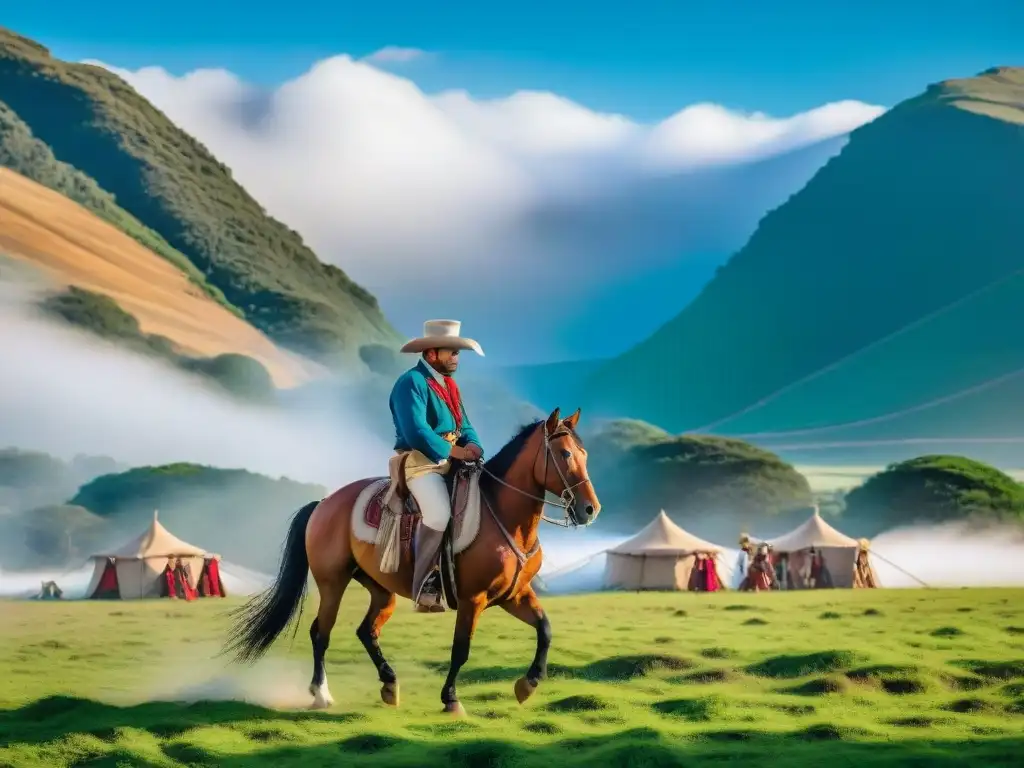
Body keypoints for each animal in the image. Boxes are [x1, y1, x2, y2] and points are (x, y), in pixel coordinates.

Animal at [224, 409, 598, 716]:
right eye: (564, 454)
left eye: (584, 454)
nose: (590, 509)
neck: (503, 515)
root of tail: (324, 503)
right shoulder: (472, 600)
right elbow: (461, 649)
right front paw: (451, 699)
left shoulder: (514, 596)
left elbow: (545, 630)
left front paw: (528, 684)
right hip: (333, 583)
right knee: (321, 633)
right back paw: (321, 694)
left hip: (380, 589)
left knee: (366, 631)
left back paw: (389, 684)